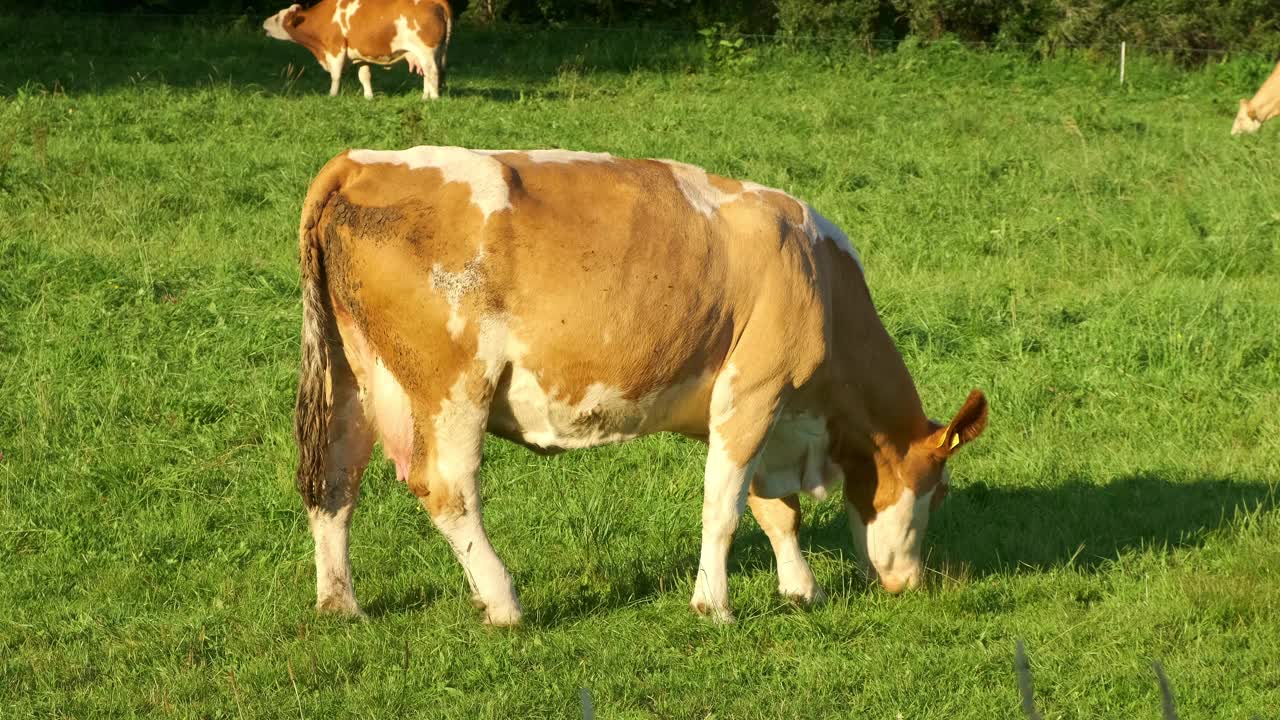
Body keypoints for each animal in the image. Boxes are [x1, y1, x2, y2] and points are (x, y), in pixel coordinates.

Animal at [258, 0, 450, 101]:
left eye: (277, 18)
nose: (264, 22)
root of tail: (434, 2)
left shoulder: (335, 49)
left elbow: (335, 76)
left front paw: (332, 96)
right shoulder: (361, 56)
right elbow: (364, 77)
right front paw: (368, 97)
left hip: (426, 51)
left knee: (432, 73)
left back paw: (434, 98)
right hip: (431, 53)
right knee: (428, 74)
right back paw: (425, 96)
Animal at [293, 146, 988, 622]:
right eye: (941, 492)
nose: (910, 583)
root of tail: (360, 162)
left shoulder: (760, 412)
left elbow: (773, 508)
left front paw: (800, 588)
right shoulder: (754, 389)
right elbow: (725, 507)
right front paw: (714, 605)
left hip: (350, 377)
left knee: (333, 483)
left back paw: (340, 603)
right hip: (453, 386)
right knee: (447, 490)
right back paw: (504, 602)